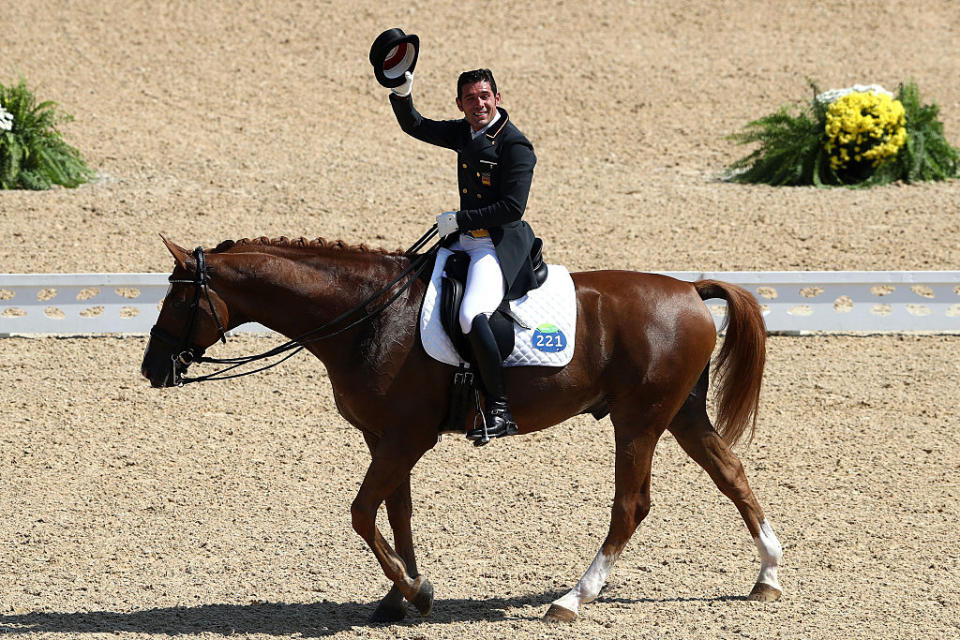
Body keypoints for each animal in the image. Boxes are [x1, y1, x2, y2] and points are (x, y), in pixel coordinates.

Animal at [144, 234, 788, 620]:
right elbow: (396, 512)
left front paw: (417, 592)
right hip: (680, 414)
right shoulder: (386, 438)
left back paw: (572, 599)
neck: (368, 314)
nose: (152, 368)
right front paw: (398, 593)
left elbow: (361, 512)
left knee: (631, 505)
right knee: (731, 474)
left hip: (639, 420)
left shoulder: (407, 438)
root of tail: (689, 289)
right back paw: (768, 578)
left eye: (176, 301)